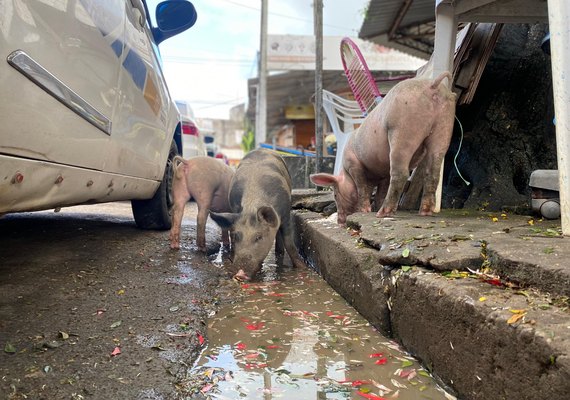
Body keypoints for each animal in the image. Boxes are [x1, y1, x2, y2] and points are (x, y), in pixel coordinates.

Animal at [308, 72, 454, 225]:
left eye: (335, 194)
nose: (340, 221)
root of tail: (432, 85)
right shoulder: (383, 173)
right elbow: (380, 191)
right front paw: (374, 206)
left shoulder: (353, 164)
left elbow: (361, 187)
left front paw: (365, 210)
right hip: (444, 126)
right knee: (433, 172)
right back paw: (425, 212)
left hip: (403, 130)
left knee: (401, 173)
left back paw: (383, 213)